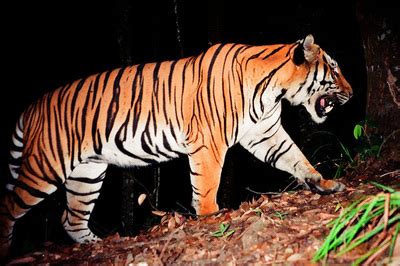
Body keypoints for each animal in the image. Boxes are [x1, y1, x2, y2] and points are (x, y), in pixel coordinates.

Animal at [0, 34, 352, 256]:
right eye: (334, 69)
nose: (351, 93)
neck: (274, 90)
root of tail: (31, 107)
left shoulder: (264, 133)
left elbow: (296, 157)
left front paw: (324, 183)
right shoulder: (209, 142)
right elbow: (207, 184)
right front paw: (211, 217)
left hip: (87, 173)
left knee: (70, 218)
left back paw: (96, 244)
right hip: (46, 167)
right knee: (8, 206)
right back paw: (6, 251)